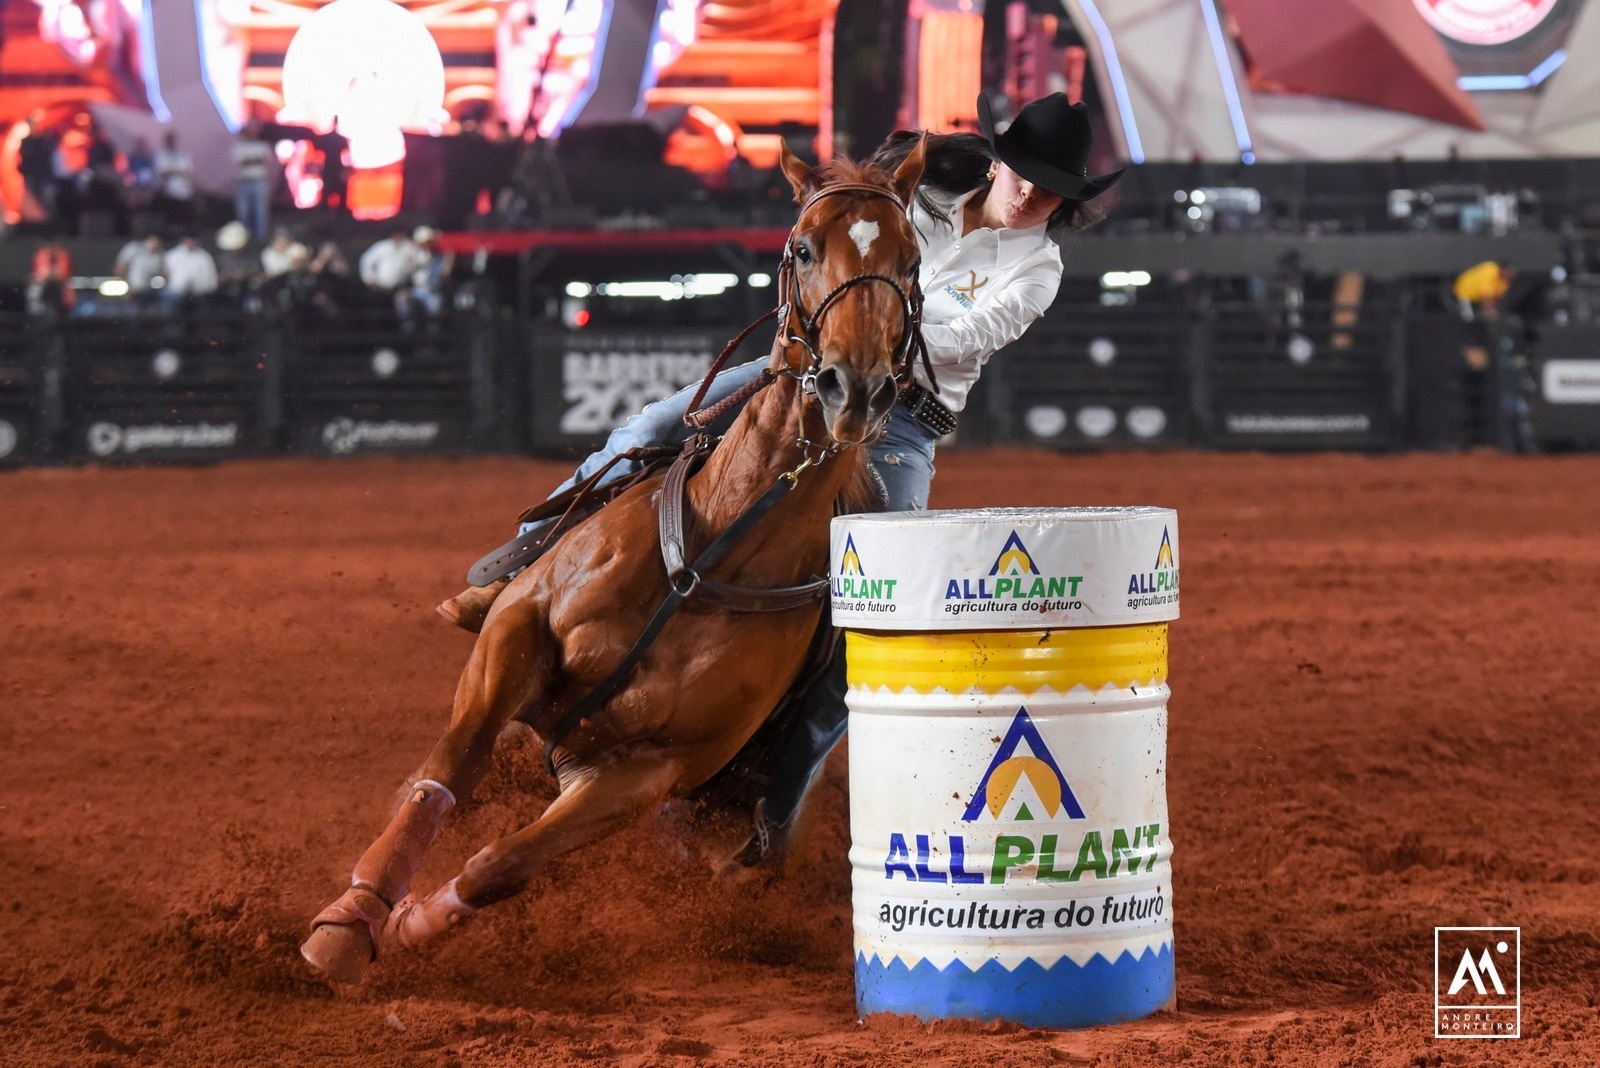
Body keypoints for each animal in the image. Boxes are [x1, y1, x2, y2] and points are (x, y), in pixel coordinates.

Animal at [302, 139, 928, 984]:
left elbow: (503, 864)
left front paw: (409, 925)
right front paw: (351, 918)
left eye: (912, 260)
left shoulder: (646, 771)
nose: (852, 387)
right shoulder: (518, 629)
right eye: (803, 248)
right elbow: (449, 768)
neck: (716, 552)